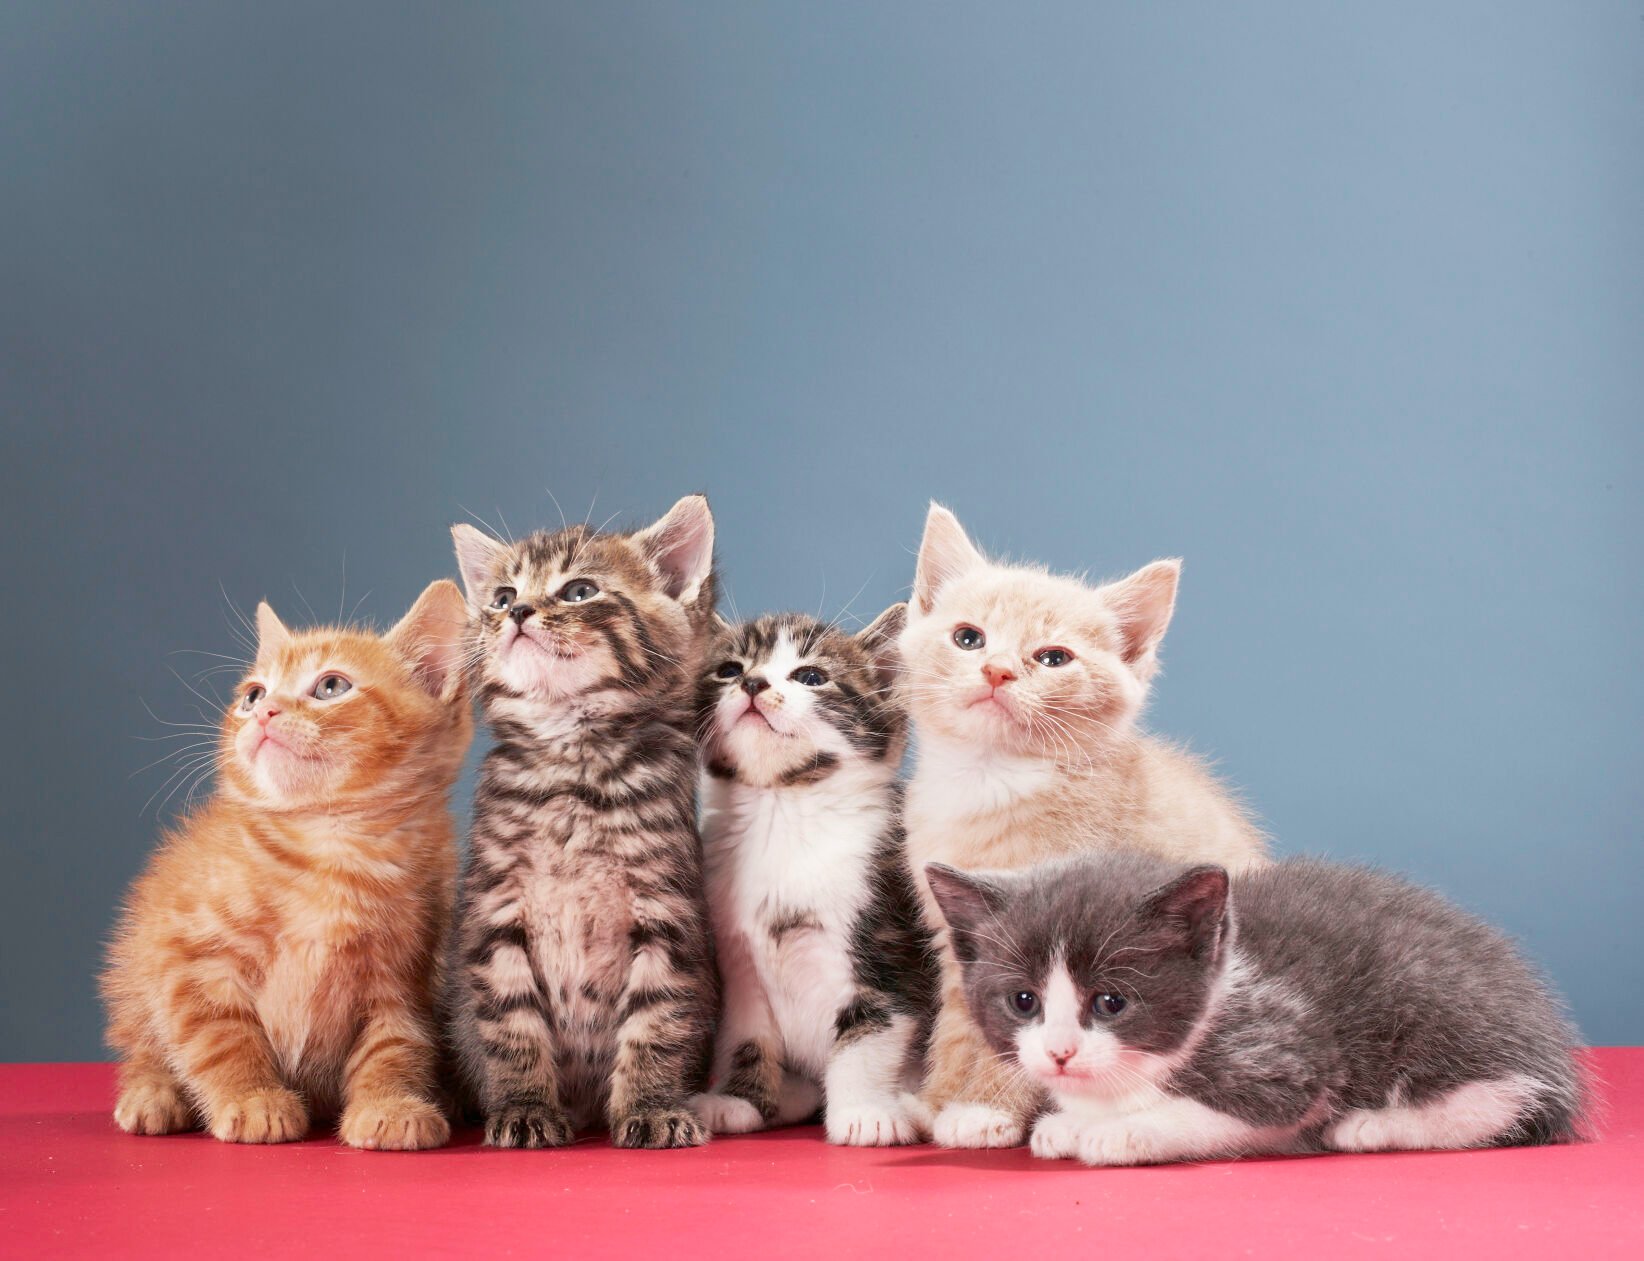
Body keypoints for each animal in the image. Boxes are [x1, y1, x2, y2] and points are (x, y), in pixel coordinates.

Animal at [101, 585, 470, 1157]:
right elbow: (220, 1038)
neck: (331, 851)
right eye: (253, 694)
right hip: (133, 968)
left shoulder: (404, 979)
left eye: (331, 686)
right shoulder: (188, 957)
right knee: (143, 1047)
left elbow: (394, 1045)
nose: (264, 712)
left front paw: (390, 1105)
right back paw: (153, 1094)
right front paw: (252, 1099)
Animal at [443, 499, 720, 1150]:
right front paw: (524, 1108)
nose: (518, 612)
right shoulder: (495, 912)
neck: (572, 767)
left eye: (579, 591)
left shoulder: (667, 912)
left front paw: (651, 1107)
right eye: (501, 596)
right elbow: (511, 1027)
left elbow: (657, 1021)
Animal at [683, 605, 940, 1150]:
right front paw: (739, 1099)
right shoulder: (739, 963)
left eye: (812, 677)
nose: (754, 683)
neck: (784, 811)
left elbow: (867, 1037)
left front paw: (865, 1112)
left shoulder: (888, 950)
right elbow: (746, 1038)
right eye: (729, 670)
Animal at [900, 506, 1269, 1157]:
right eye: (968, 637)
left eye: (1053, 658)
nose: (997, 670)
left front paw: (984, 1110)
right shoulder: (963, 938)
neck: (991, 781)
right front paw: (937, 1101)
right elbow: (965, 1022)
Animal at [927, 854, 1578, 1170]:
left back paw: (1374, 1125)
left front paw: (1121, 1130)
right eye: (1024, 1001)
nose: (1060, 1052)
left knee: (1502, 1100)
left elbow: (1226, 1112)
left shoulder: (1284, 1053)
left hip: (1438, 1014)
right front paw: (1069, 1120)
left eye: (1111, 1003)